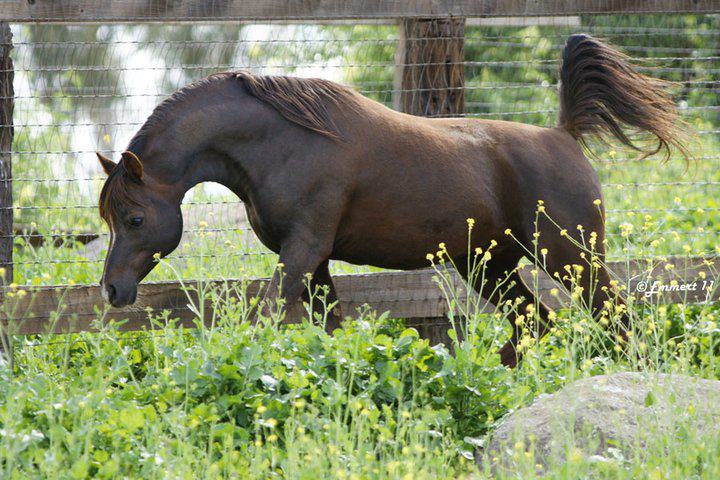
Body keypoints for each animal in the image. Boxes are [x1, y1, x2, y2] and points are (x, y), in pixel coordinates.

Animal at [95, 35, 688, 368]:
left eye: (135, 217)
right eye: (109, 220)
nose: (113, 290)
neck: (286, 141)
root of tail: (564, 134)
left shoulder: (302, 251)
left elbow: (265, 314)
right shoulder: (317, 262)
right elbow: (328, 325)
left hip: (572, 260)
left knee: (616, 319)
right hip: (490, 267)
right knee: (534, 323)